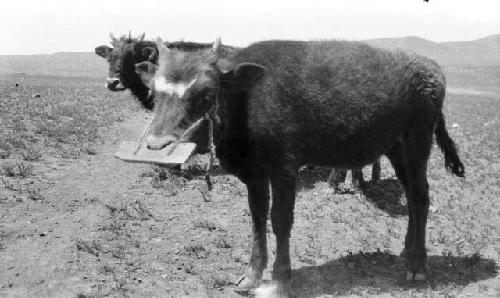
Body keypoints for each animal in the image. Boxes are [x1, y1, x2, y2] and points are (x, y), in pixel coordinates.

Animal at [136, 37, 464, 296]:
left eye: (205, 93)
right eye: (154, 93)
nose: (156, 143)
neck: (247, 101)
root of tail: (431, 68)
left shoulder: (284, 170)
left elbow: (280, 220)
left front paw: (280, 279)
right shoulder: (254, 176)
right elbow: (257, 219)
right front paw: (251, 276)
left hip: (417, 144)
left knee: (420, 196)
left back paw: (417, 264)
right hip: (396, 150)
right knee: (409, 196)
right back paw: (406, 251)